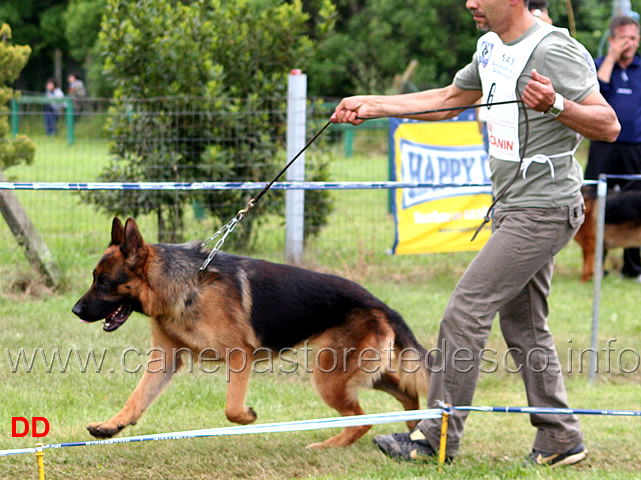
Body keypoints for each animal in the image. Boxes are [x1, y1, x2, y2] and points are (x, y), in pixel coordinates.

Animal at [71, 219, 430, 448]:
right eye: (93, 278)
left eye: (105, 283)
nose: (75, 310)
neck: (184, 285)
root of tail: (380, 304)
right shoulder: (165, 359)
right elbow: (136, 399)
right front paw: (112, 425)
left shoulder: (238, 355)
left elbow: (231, 408)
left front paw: (247, 416)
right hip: (358, 374)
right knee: (407, 393)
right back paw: (414, 429)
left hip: (331, 377)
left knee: (363, 419)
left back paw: (328, 445)